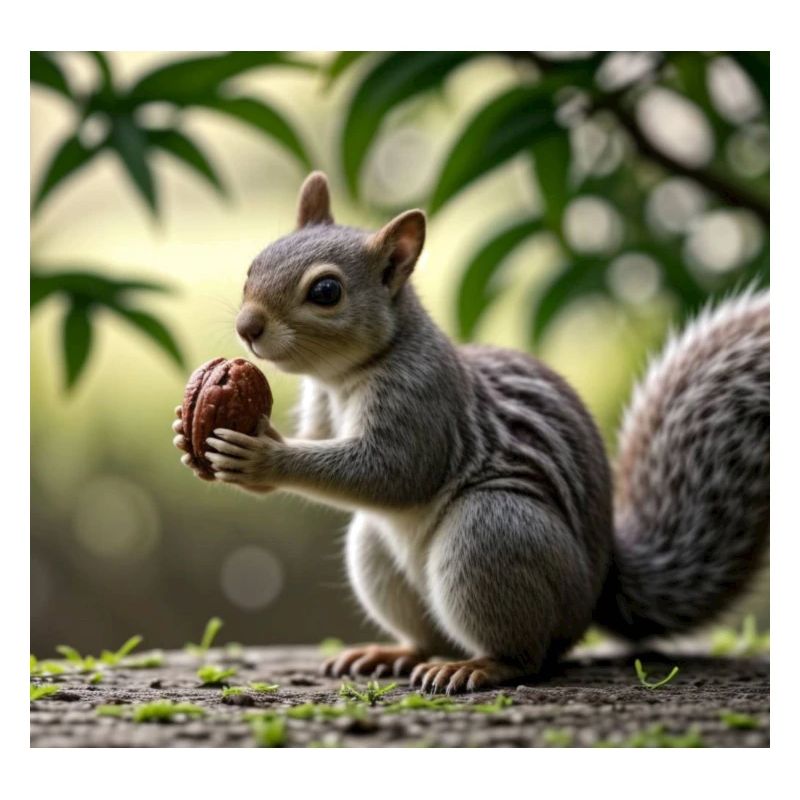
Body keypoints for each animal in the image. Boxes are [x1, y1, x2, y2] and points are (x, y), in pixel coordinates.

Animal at [172, 171, 770, 694]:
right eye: (254, 264)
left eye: (325, 291)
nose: (247, 327)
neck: (346, 376)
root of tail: (595, 591)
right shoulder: (323, 407)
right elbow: (324, 439)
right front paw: (188, 430)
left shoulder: (424, 401)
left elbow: (392, 472)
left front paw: (263, 458)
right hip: (377, 552)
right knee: (430, 635)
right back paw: (394, 653)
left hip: (491, 533)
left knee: (530, 655)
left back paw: (481, 667)